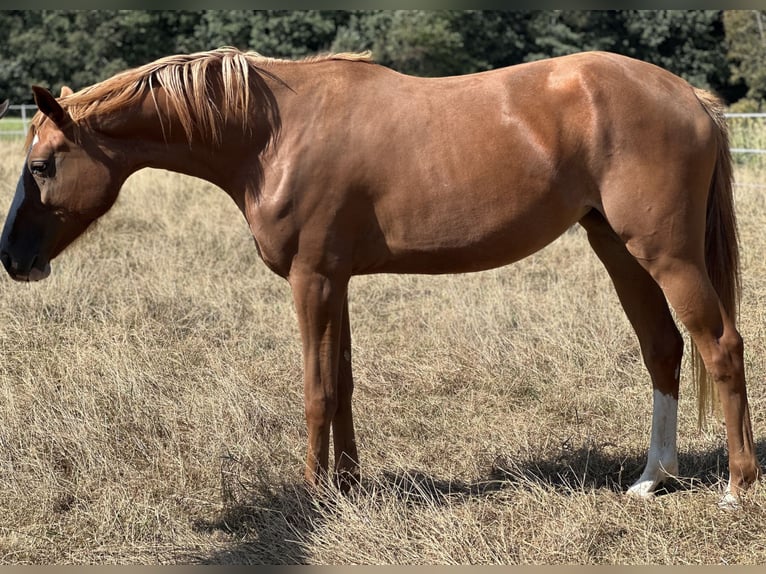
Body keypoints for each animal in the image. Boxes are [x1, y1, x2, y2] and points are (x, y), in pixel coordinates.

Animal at [0, 50, 760, 508]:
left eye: (41, 164)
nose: (12, 258)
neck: (270, 134)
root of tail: (688, 96)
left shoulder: (310, 280)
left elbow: (316, 390)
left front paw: (312, 495)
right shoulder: (335, 280)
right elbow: (343, 386)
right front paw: (347, 484)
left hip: (666, 254)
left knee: (721, 346)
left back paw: (737, 484)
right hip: (619, 248)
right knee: (663, 349)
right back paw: (651, 478)